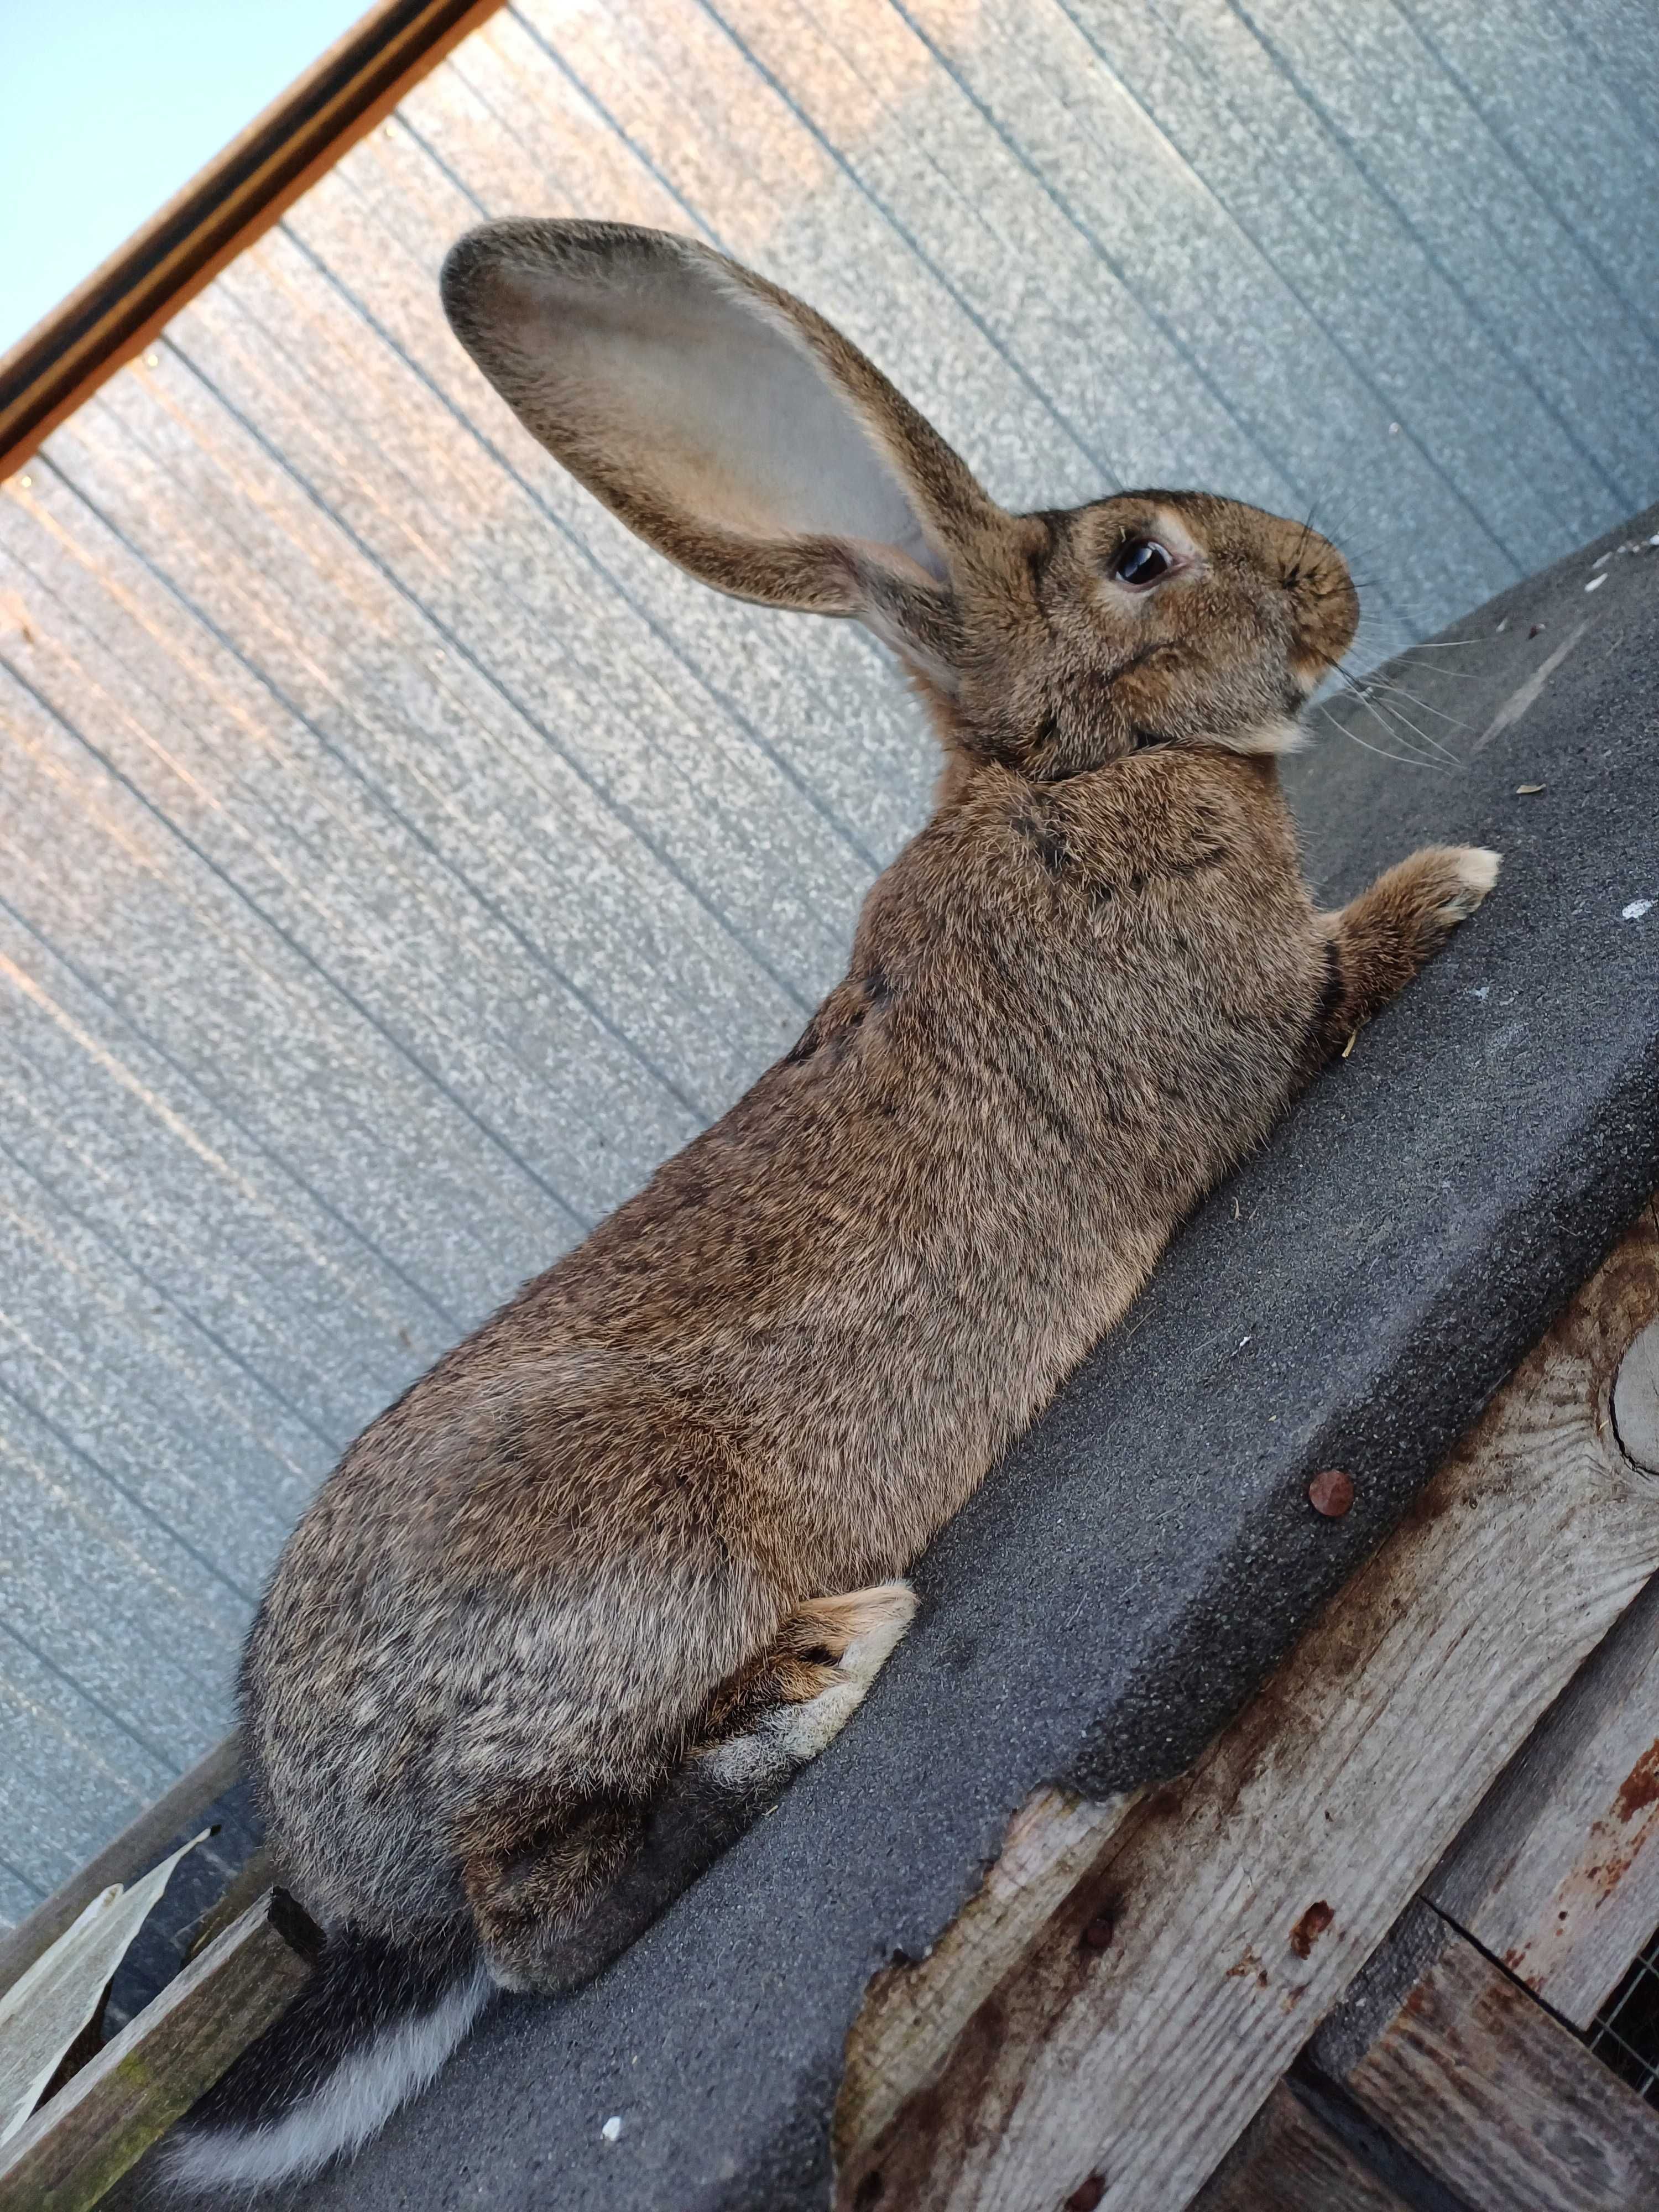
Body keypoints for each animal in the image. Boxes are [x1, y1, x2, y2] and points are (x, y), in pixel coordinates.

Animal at [173, 220, 1504, 2194]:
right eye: (1142, 557)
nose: (1330, 583)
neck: (1066, 771)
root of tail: (341, 1872)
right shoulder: (1241, 1030)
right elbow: (1342, 979)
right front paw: (1453, 881)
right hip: (633, 1550)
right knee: (539, 1919)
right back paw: (813, 1684)